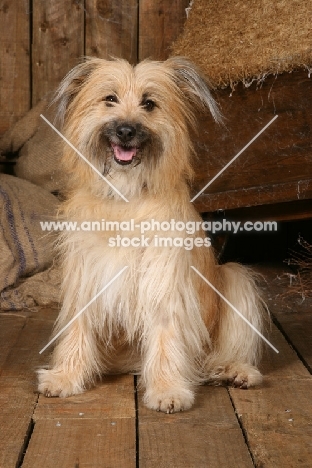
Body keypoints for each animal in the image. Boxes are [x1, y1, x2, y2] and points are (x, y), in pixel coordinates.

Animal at [37, 56, 264, 412]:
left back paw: (235, 370)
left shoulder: (163, 276)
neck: (127, 194)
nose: (126, 130)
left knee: (221, 351)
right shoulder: (86, 274)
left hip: (235, 279)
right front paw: (66, 376)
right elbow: (78, 325)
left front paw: (167, 389)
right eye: (110, 98)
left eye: (149, 103)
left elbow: (165, 332)